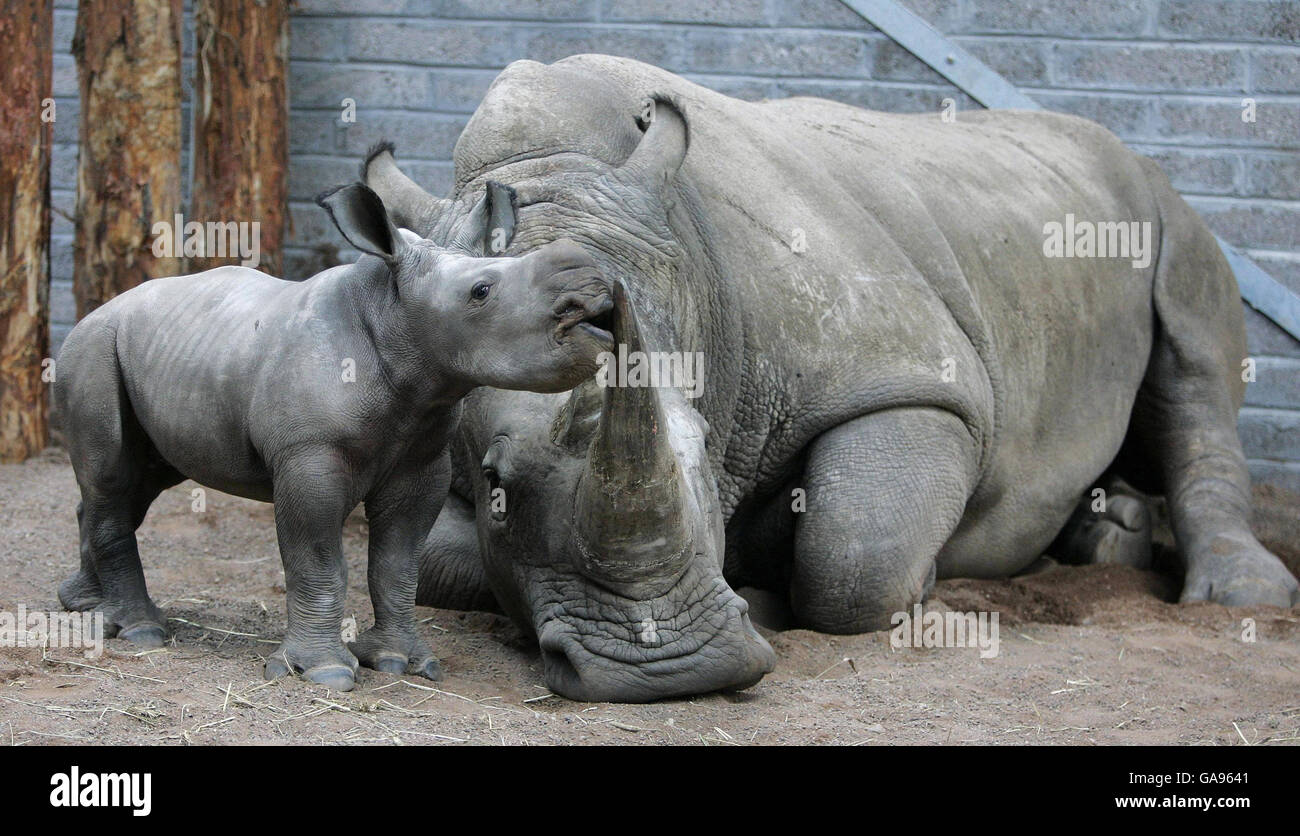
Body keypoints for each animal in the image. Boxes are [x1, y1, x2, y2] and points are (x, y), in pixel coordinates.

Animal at [55, 183, 613, 691]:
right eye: (481, 292)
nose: (593, 289)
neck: (394, 320)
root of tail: (93, 313)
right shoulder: (309, 453)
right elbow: (317, 558)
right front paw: (325, 674)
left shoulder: (423, 459)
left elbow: (397, 562)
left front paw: (402, 663)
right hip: (92, 348)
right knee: (112, 477)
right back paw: (142, 631)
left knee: (137, 482)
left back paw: (86, 606)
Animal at [358, 55, 1300, 702]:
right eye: (494, 483)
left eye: (704, 448)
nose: (668, 670)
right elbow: (437, 557)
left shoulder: (915, 379)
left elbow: (855, 553)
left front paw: (855, 579)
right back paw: (1106, 539)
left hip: (1160, 200)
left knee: (1195, 358)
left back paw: (1237, 594)